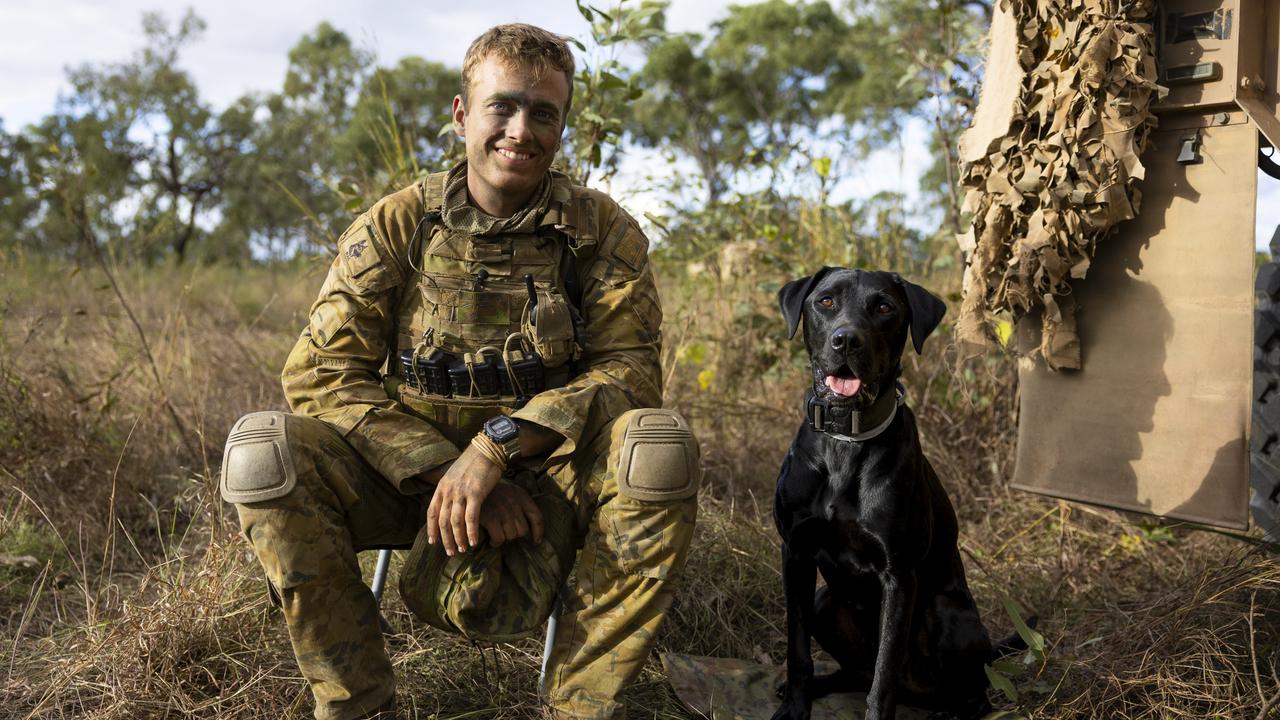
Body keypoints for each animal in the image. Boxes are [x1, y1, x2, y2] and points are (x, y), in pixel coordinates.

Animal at [773, 266, 1003, 712]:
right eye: (825, 301)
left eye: (884, 308)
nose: (846, 340)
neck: (846, 438)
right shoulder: (796, 552)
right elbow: (798, 652)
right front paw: (793, 707)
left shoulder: (898, 576)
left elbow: (884, 677)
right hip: (825, 602)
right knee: (855, 673)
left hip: (951, 616)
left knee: (971, 693)